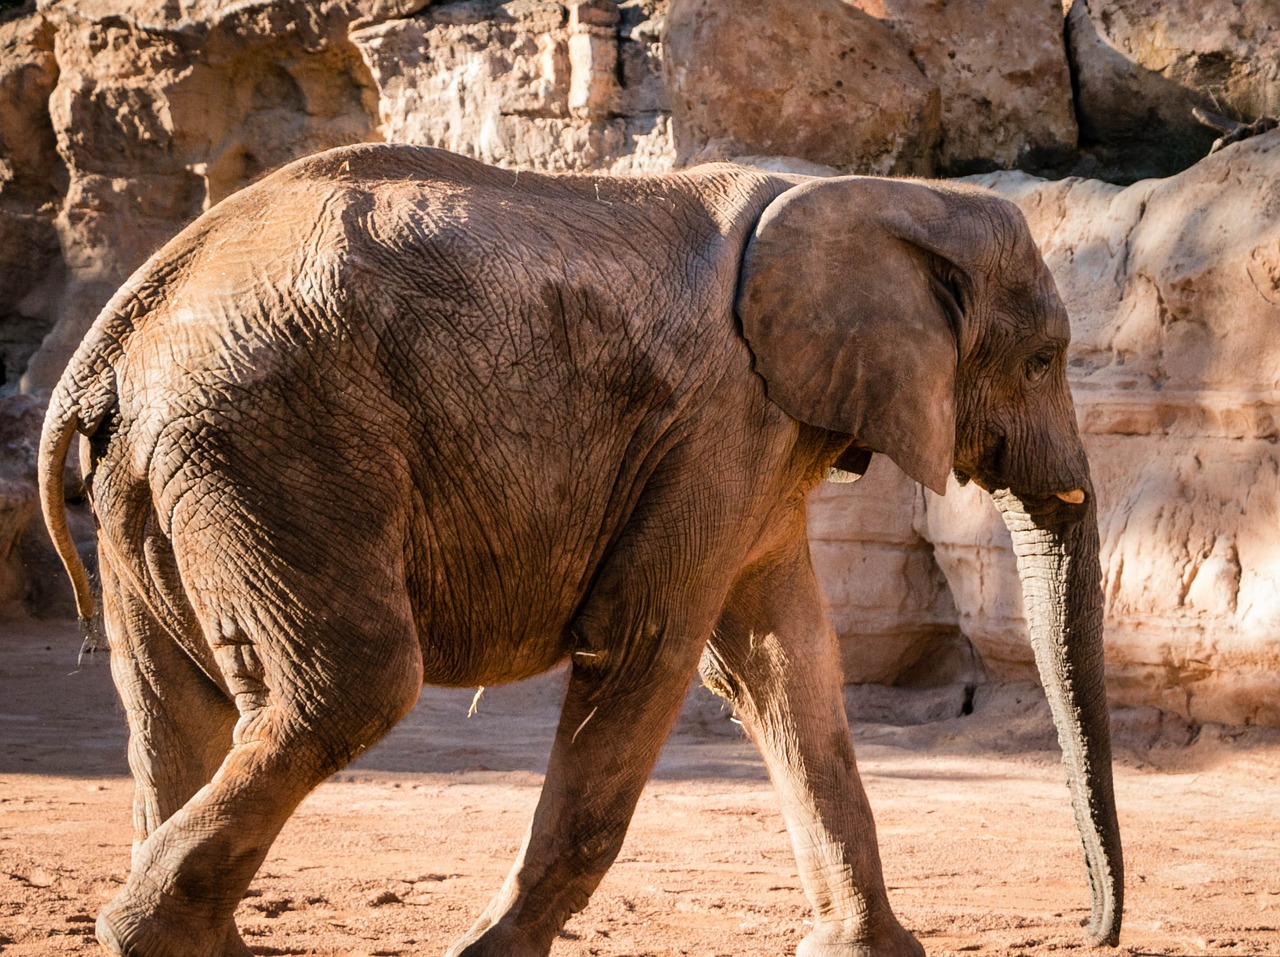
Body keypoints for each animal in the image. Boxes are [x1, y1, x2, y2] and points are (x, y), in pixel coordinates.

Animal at [40, 143, 1121, 957]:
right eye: (1042, 360)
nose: (1093, 929)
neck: (869, 191)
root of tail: (115, 333)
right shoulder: (721, 422)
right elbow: (651, 643)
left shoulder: (758, 437)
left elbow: (788, 664)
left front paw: (869, 953)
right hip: (270, 438)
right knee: (352, 682)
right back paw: (141, 933)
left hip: (164, 470)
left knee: (168, 695)